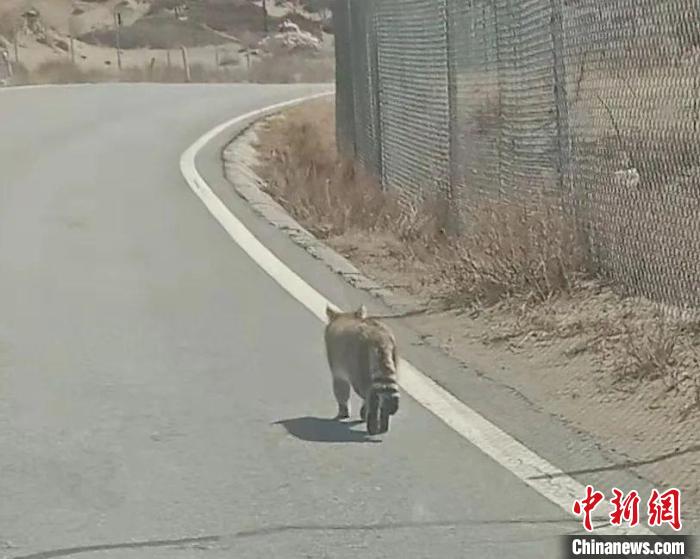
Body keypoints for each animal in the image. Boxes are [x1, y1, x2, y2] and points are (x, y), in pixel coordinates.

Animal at [322, 304, 400, 436]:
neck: (347, 317)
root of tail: (379, 337)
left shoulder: (337, 369)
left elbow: (341, 389)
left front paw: (343, 410)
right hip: (394, 358)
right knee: (383, 393)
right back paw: (382, 419)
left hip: (358, 365)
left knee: (368, 393)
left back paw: (370, 415)